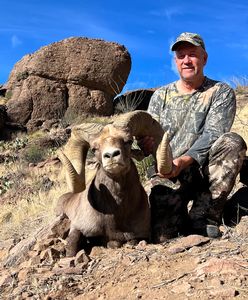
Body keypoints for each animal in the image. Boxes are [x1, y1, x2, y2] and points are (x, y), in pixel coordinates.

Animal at [57, 110, 171, 255]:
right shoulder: (77, 228)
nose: (111, 155)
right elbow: (72, 248)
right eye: (94, 149)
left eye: (128, 141)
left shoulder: (140, 236)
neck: (118, 213)